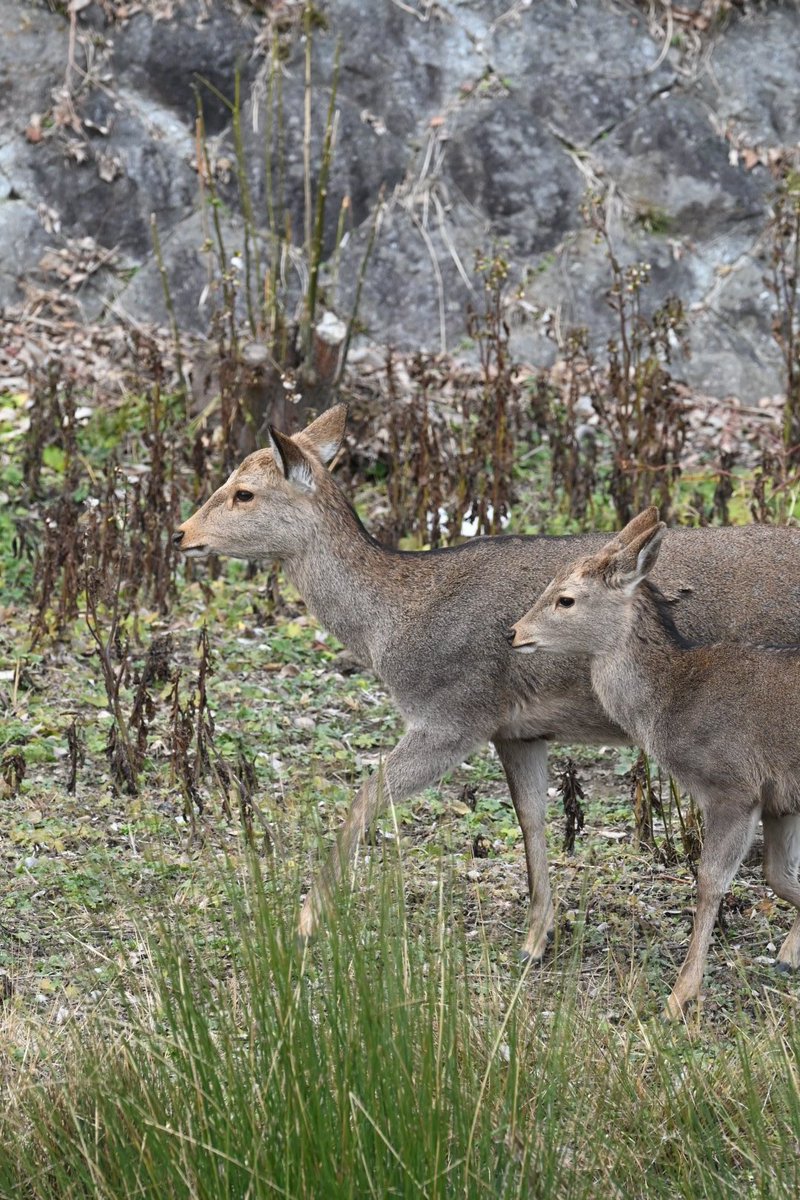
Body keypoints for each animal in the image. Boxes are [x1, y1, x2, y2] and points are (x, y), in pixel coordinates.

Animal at [174, 404, 800, 963]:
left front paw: (306, 923)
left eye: (243, 492)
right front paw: (535, 939)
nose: (180, 533)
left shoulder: (453, 714)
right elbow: (531, 818)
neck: (389, 624)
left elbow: (365, 798)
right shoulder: (517, 729)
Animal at [510, 506, 800, 1017]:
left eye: (565, 599)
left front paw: (680, 996)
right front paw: (787, 958)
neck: (676, 701)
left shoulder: (733, 787)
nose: (514, 633)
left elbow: (710, 883)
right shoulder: (780, 800)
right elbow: (781, 877)